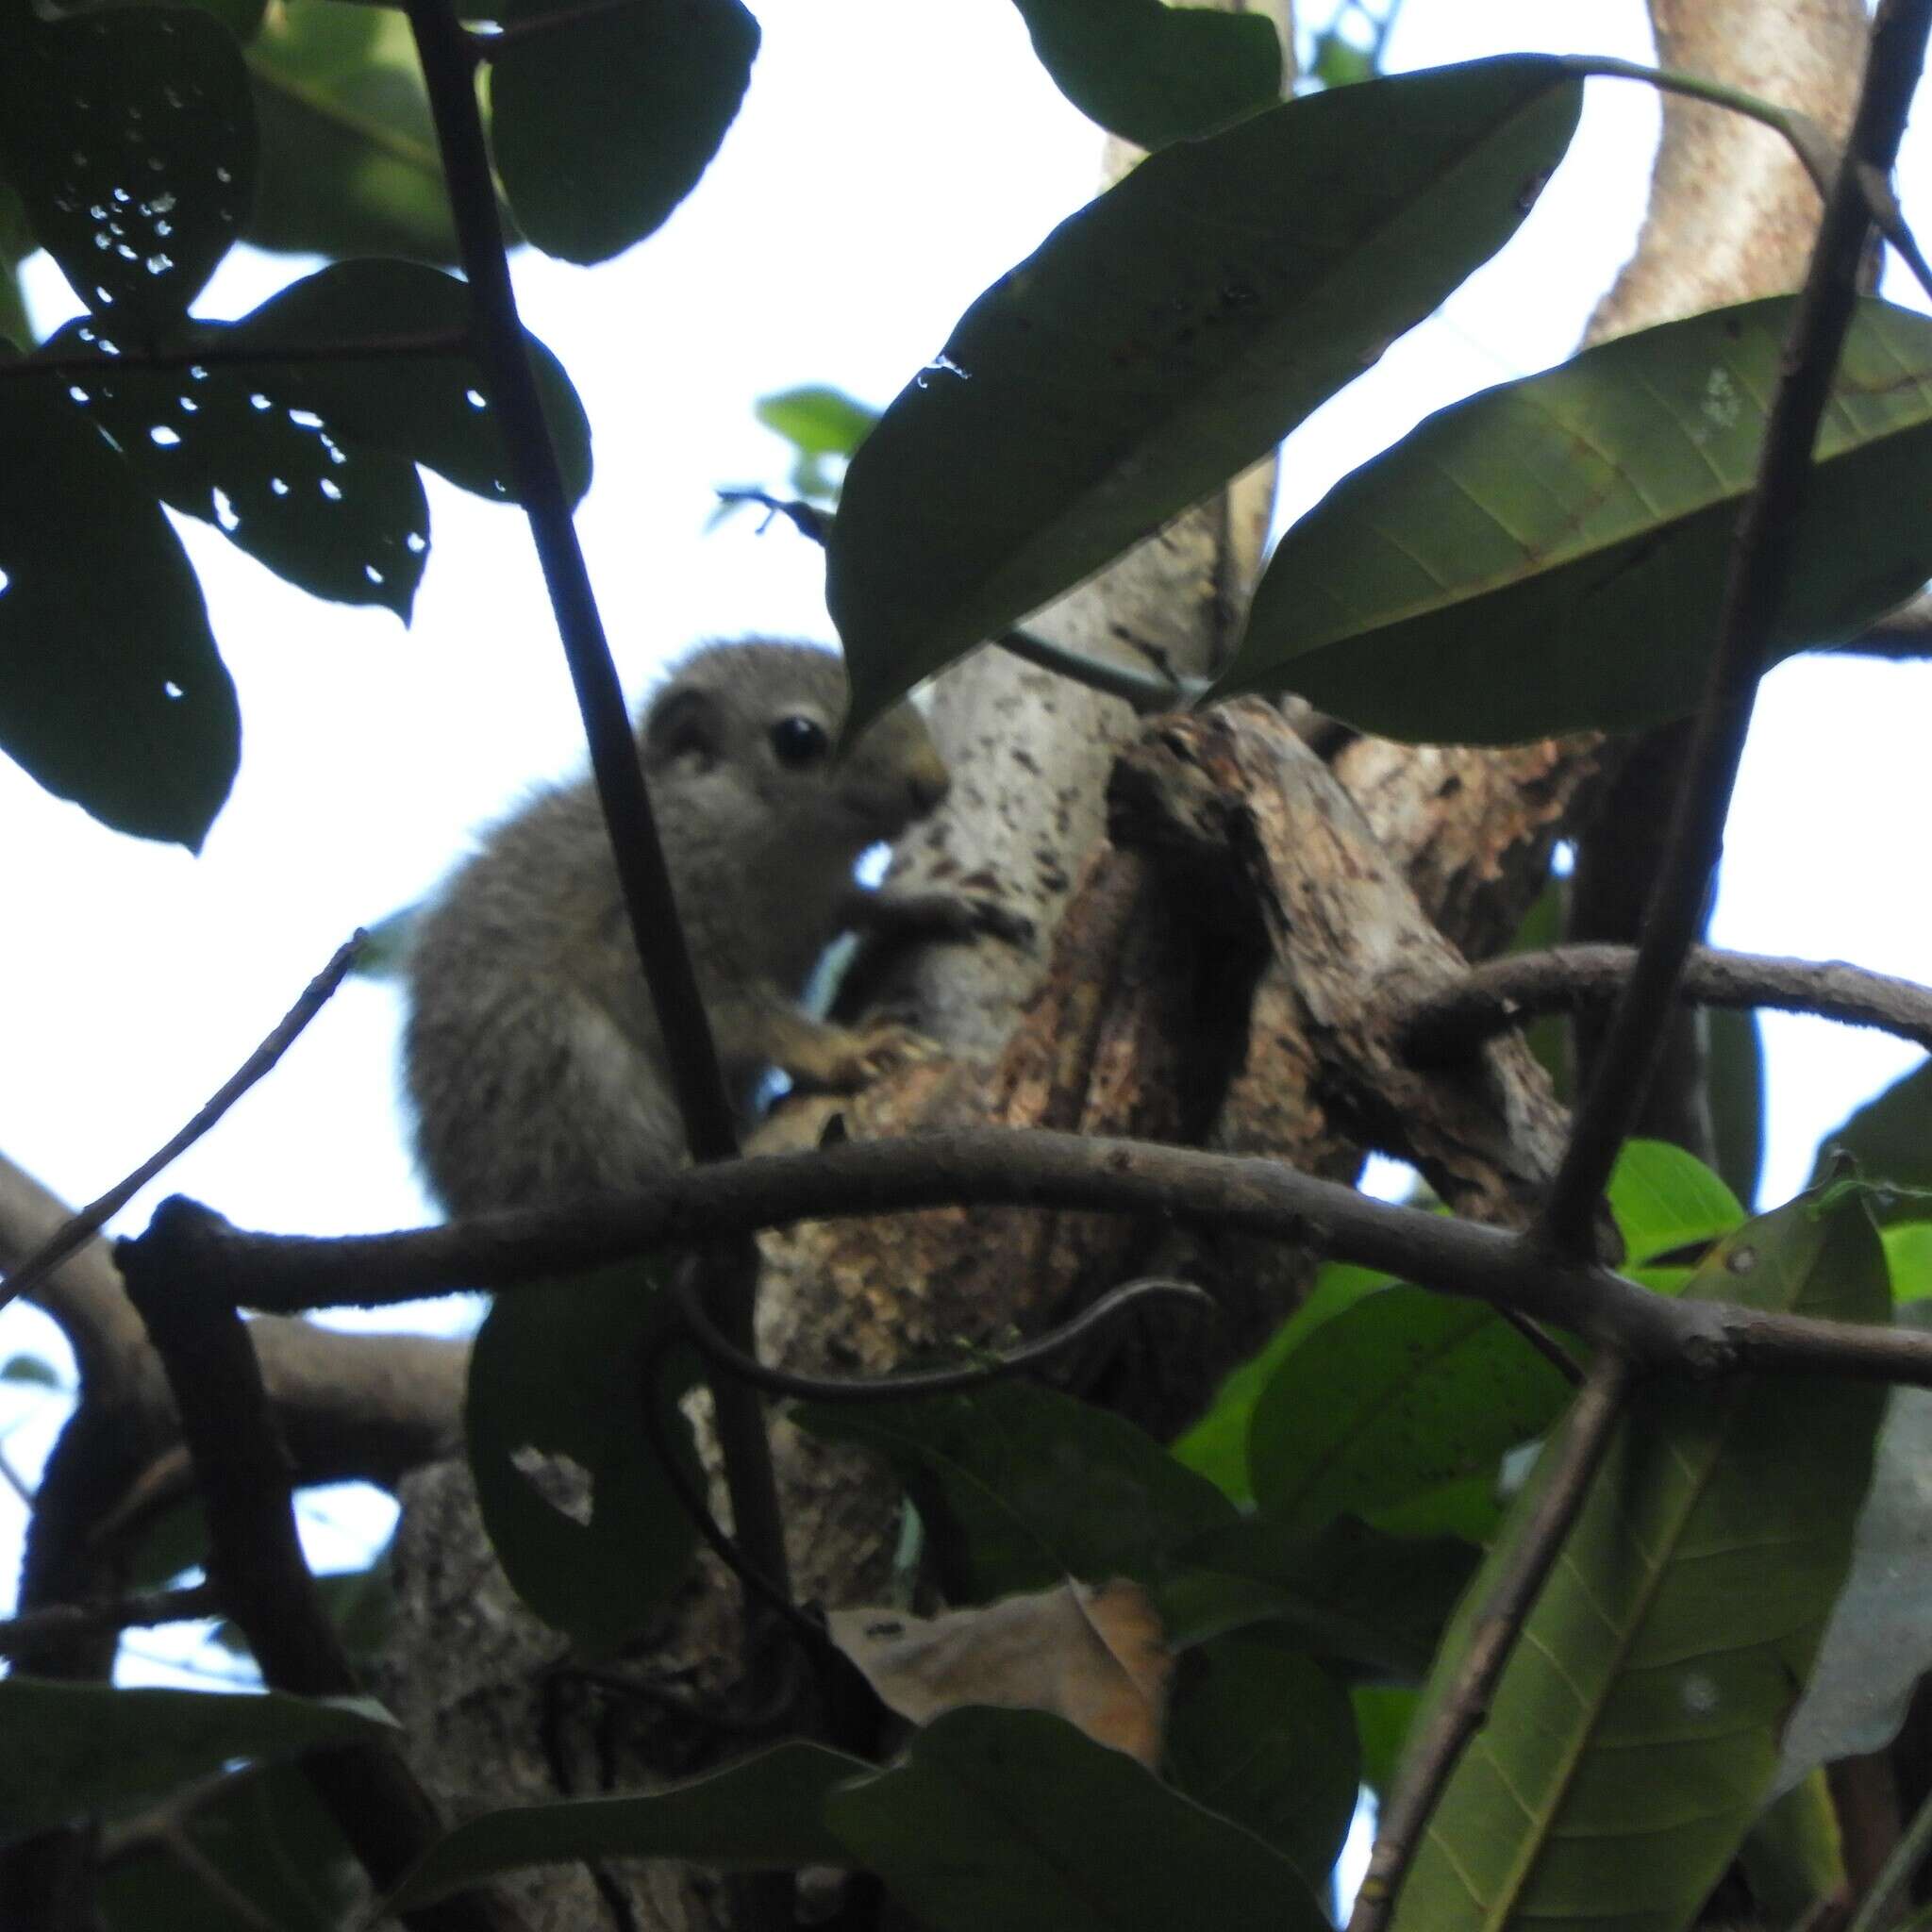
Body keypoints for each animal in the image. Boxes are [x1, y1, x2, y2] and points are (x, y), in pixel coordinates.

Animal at [399, 641, 1020, 1213]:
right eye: (798, 739)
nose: (933, 783)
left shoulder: (818, 903)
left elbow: (861, 906)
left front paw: (932, 900)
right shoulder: (648, 928)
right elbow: (744, 1014)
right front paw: (845, 1048)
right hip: (553, 1064)